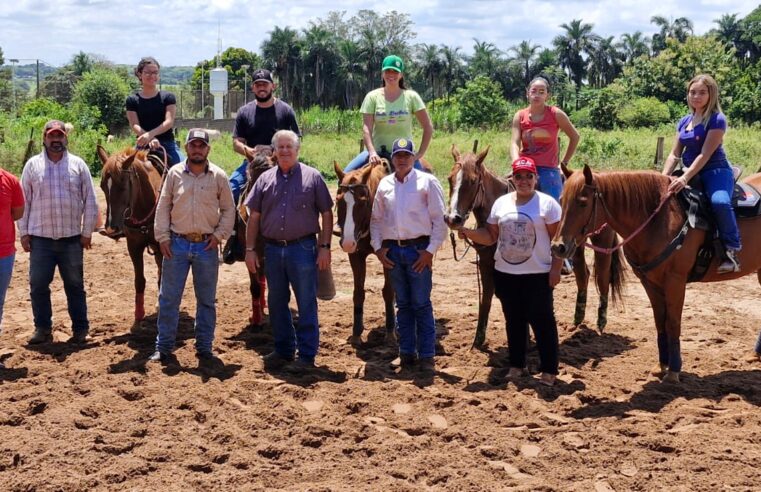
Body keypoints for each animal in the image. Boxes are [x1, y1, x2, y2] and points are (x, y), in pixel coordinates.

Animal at [97, 145, 164, 322]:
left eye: (122, 185)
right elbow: (139, 280)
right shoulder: (133, 246)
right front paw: (139, 313)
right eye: (102, 186)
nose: (111, 228)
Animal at [334, 160, 394, 342]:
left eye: (362, 201)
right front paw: (356, 333)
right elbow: (358, 292)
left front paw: (390, 332)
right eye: (338, 200)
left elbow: (388, 291)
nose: (347, 242)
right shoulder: (355, 255)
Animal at [552, 167, 760, 382]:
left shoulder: (675, 281)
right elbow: (660, 321)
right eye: (561, 199)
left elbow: (673, 323)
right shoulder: (649, 282)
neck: (659, 220)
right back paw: (754, 355)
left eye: (583, 202)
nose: (558, 247)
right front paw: (661, 365)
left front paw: (674, 371)